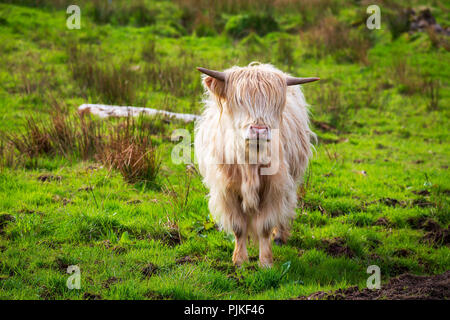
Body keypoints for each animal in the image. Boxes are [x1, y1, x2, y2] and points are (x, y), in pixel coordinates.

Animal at [195, 63, 318, 266]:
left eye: (276, 103)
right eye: (239, 99)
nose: (259, 130)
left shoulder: (274, 188)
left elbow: (265, 227)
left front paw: (266, 261)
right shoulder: (227, 191)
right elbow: (238, 227)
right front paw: (240, 260)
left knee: (287, 206)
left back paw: (280, 236)